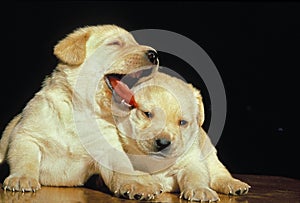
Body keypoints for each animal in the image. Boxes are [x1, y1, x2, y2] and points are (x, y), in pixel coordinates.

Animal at [0, 24, 159, 191]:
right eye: (115, 43)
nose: (154, 55)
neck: (81, 112)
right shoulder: (26, 135)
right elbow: (25, 158)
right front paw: (22, 178)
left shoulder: (109, 150)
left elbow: (122, 167)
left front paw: (136, 185)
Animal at [110, 71, 251, 201]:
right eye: (147, 114)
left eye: (182, 122)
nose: (163, 143)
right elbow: (129, 173)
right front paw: (139, 186)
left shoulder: (192, 159)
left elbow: (194, 175)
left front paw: (200, 190)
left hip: (210, 154)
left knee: (219, 172)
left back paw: (234, 184)